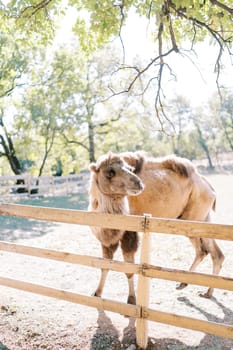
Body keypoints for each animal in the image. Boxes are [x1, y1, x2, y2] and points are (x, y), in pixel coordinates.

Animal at [88, 150, 225, 304]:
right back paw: (191, 287)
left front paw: (131, 299)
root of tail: (209, 186)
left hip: (195, 218)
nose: (138, 183)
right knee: (207, 252)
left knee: (208, 251)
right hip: (198, 219)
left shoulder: (129, 232)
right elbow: (104, 265)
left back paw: (203, 290)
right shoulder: (106, 236)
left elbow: (129, 268)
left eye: (129, 169)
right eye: (110, 173)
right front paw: (97, 293)